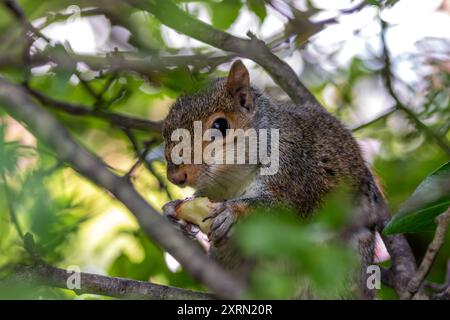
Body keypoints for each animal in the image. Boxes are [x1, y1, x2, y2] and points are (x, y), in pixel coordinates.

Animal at [162, 59, 384, 298]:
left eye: (220, 125)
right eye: (165, 129)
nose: (175, 176)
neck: (233, 179)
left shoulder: (296, 168)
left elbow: (283, 208)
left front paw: (233, 212)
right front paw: (174, 211)